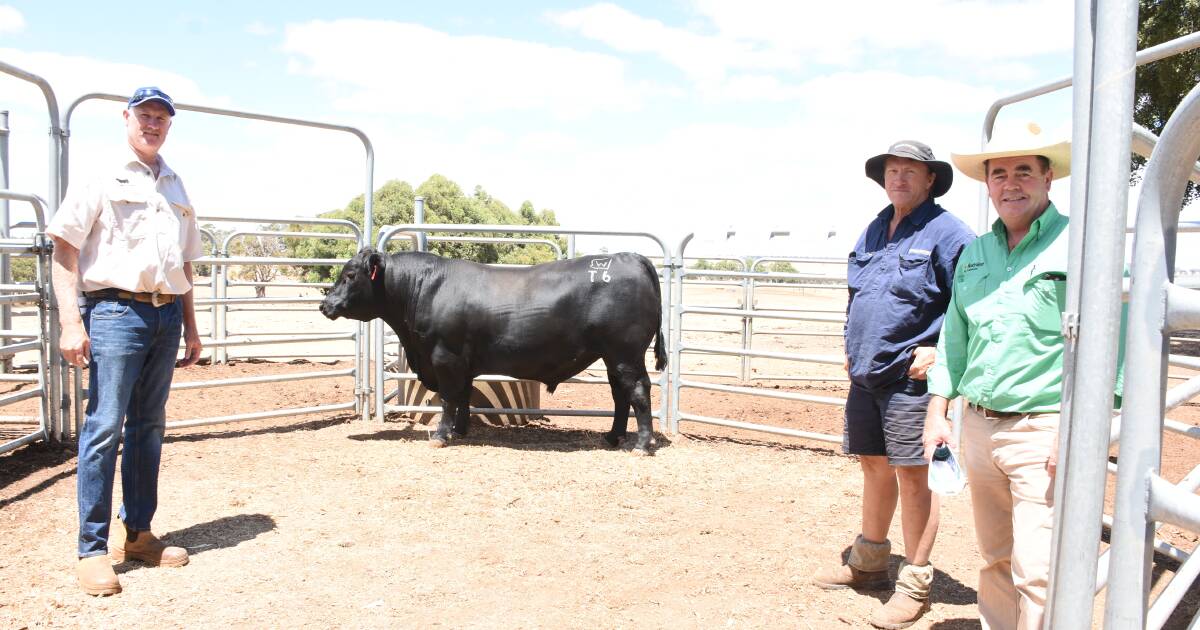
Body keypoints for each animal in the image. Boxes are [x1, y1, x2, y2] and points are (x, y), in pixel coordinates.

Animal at [319, 247, 667, 451]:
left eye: (350, 275)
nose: (325, 305)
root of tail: (632, 257)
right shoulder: (462, 362)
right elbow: (463, 396)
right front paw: (460, 431)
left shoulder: (444, 357)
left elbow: (448, 397)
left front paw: (441, 436)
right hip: (612, 356)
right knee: (620, 395)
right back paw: (613, 437)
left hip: (625, 353)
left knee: (638, 390)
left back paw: (642, 444)